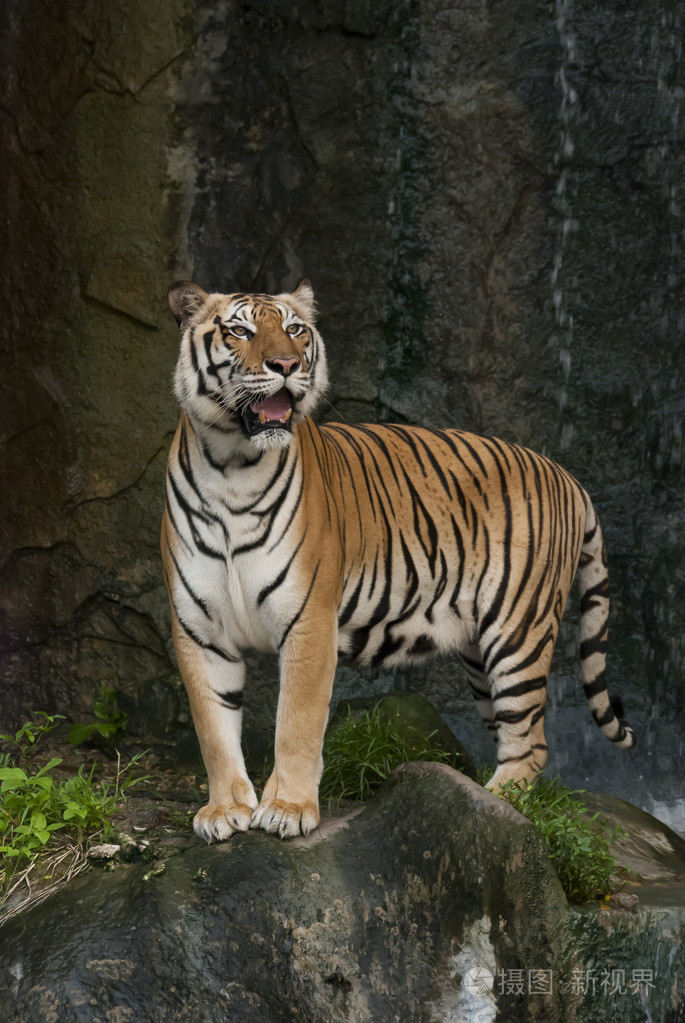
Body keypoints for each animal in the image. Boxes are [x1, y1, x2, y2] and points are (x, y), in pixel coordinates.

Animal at [161, 278, 636, 844]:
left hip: (519, 631)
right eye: (240, 331)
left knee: (531, 742)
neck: (232, 465)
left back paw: (497, 804)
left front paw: (288, 809)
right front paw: (225, 810)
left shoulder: (309, 620)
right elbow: (214, 729)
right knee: (510, 730)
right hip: (481, 652)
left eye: (295, 330)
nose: (286, 364)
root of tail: (567, 476)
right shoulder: (198, 628)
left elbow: (297, 722)